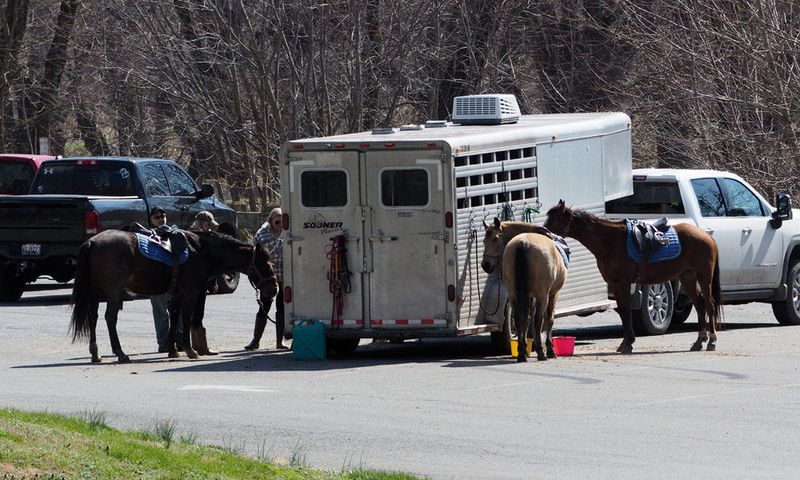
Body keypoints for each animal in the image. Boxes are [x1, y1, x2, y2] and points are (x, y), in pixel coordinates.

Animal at [69, 230, 282, 364]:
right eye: (265, 263)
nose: (274, 288)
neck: (200, 251)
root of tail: (92, 242)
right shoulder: (191, 292)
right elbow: (186, 318)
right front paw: (190, 350)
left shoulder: (178, 293)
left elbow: (174, 317)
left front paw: (173, 350)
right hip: (112, 291)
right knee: (110, 318)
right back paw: (120, 353)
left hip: (95, 290)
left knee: (93, 317)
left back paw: (95, 353)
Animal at [482, 219, 568, 362]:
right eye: (484, 241)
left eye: (495, 238)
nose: (485, 265)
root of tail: (523, 243)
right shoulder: (553, 293)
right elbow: (549, 318)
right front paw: (550, 350)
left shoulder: (528, 295)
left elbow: (526, 318)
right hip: (542, 295)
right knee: (538, 320)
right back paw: (541, 353)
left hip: (513, 293)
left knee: (519, 318)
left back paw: (522, 353)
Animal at [540, 201, 720, 354]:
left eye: (555, 218)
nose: (543, 232)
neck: (610, 241)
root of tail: (706, 235)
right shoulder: (615, 284)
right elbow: (623, 312)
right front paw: (626, 342)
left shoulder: (624, 283)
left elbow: (626, 311)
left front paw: (627, 344)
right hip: (688, 278)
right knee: (700, 305)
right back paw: (699, 342)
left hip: (703, 277)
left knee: (709, 305)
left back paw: (711, 341)